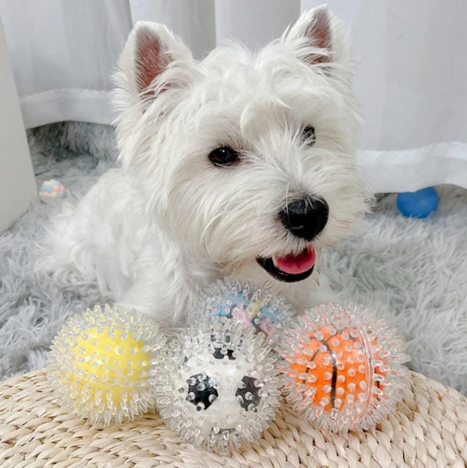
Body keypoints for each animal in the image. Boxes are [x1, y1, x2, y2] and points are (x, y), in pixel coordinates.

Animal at [44, 5, 372, 324]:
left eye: (309, 133)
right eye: (223, 155)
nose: (309, 214)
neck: (233, 274)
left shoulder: (317, 298)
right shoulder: (148, 305)